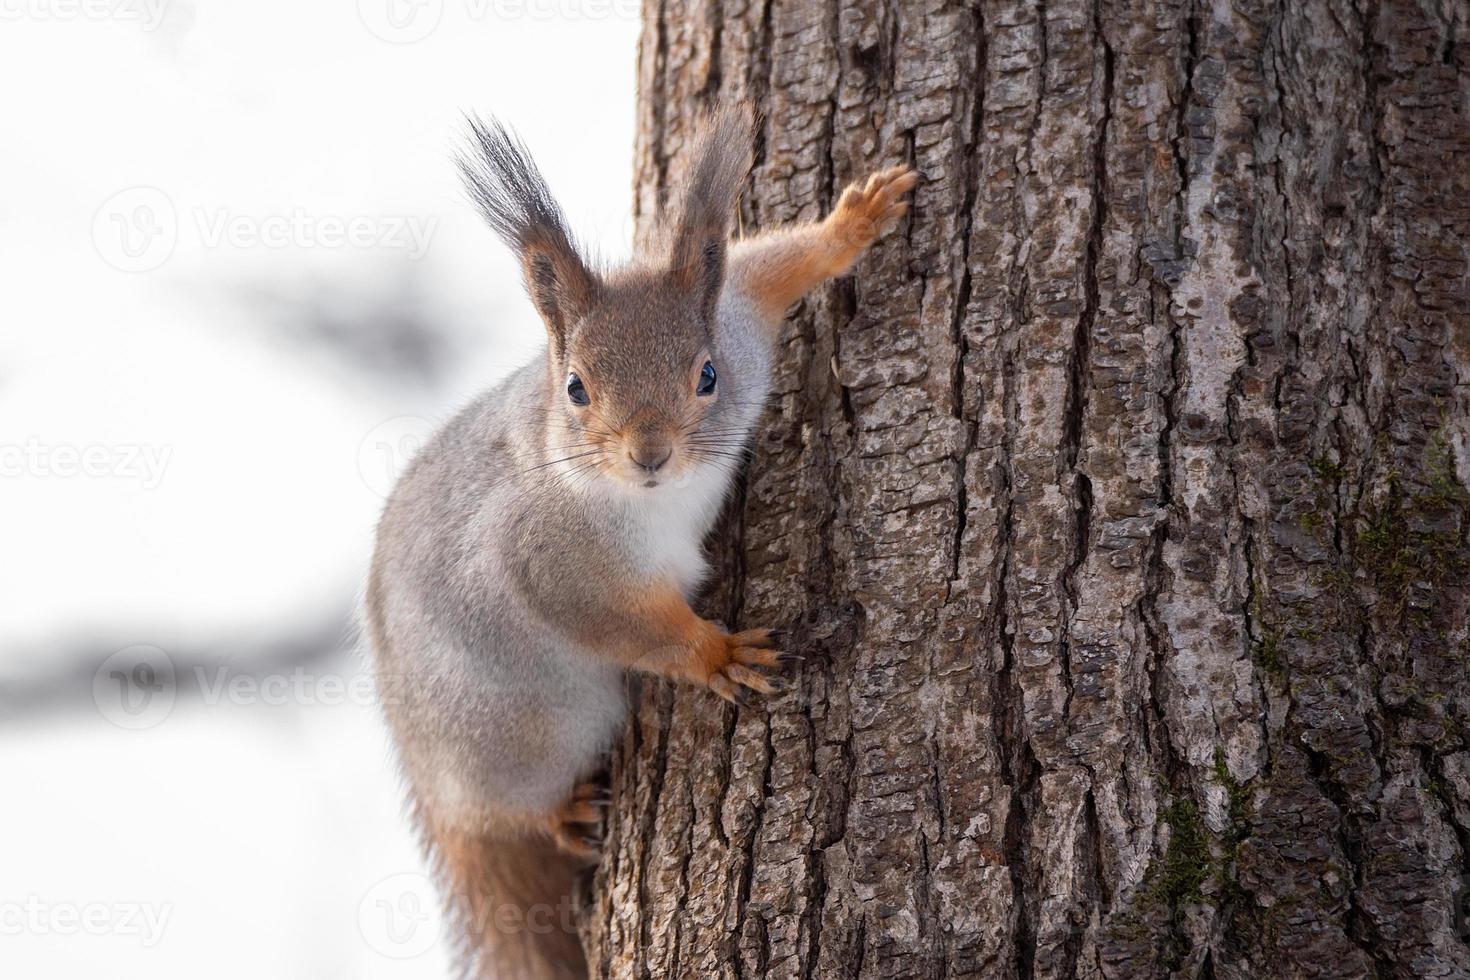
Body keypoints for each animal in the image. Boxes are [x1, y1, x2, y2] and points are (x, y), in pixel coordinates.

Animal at [364, 107, 917, 980]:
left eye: (707, 375)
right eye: (575, 389)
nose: (648, 453)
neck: (654, 499)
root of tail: (427, 774)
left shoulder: (740, 319)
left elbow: (770, 265)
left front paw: (852, 223)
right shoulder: (552, 564)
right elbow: (634, 628)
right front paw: (716, 654)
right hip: (526, 731)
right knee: (514, 815)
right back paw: (559, 813)